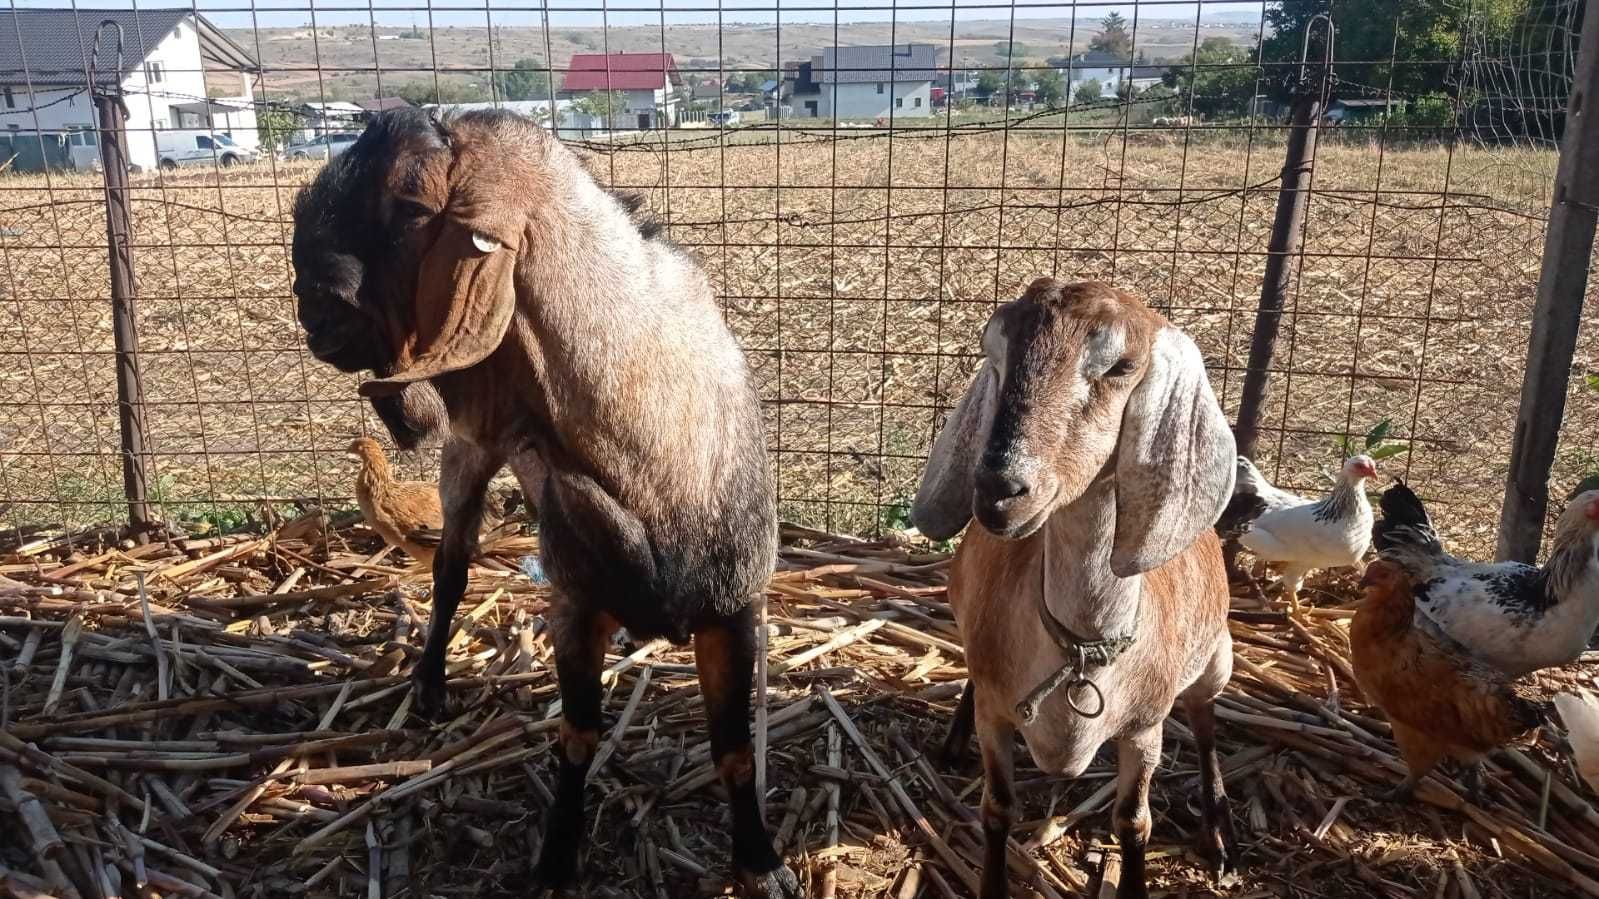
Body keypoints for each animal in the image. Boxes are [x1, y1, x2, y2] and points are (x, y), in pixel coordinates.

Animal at [289, 111, 799, 895]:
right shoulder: (574, 607)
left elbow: (736, 750)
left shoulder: (735, 609)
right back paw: (429, 685)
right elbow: (577, 737)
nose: (309, 300)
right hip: (469, 453)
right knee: (451, 569)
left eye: (411, 203)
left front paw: (760, 862)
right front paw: (556, 860)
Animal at [914, 278, 1234, 895]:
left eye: (1121, 366)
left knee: (1207, 722)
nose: (998, 489)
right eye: (995, 351)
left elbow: (1134, 822)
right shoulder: (997, 713)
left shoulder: (1144, 729)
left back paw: (1217, 827)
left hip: (1216, 661)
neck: (1081, 646)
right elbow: (997, 809)